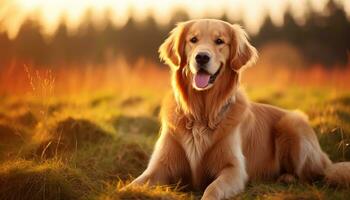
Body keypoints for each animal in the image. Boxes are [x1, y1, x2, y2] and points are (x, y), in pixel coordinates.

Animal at [128, 18, 350, 198]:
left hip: (293, 123)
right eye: (193, 40)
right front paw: (124, 191)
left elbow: (213, 189)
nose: (202, 57)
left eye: (219, 41)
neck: (202, 114)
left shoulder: (233, 169)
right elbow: (134, 184)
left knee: (312, 175)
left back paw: (287, 178)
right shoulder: (159, 166)